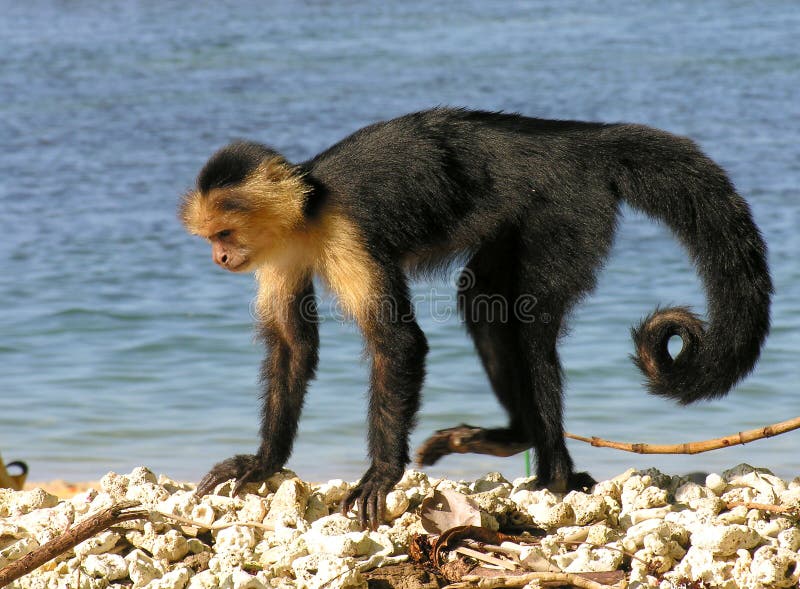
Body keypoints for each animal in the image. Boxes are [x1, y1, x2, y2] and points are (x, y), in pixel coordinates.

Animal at [180, 107, 768, 528]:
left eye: (224, 233)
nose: (219, 258)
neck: (307, 210)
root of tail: (576, 140)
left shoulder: (348, 232)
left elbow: (397, 343)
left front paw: (381, 475)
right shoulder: (277, 253)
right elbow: (291, 346)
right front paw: (261, 463)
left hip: (567, 208)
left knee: (529, 327)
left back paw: (555, 477)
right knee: (484, 300)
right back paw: (513, 436)